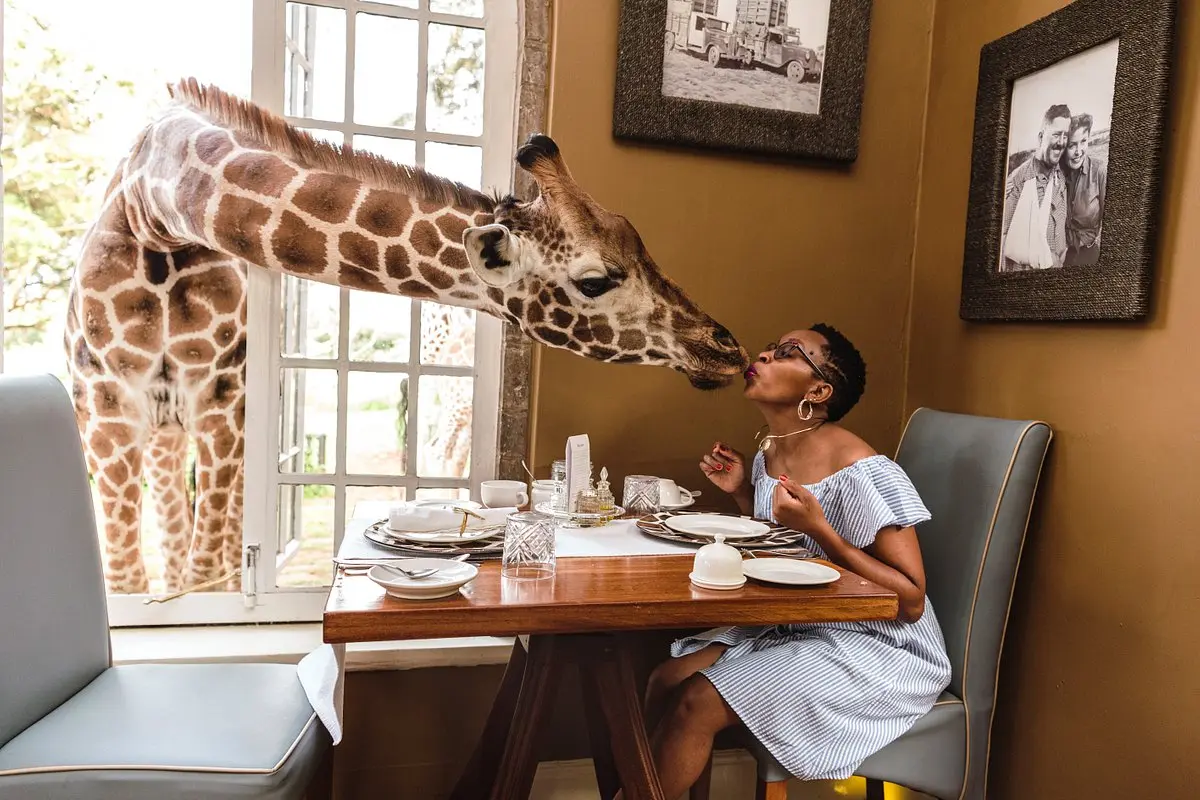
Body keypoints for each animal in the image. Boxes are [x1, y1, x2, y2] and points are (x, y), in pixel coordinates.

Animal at [65, 79, 748, 594]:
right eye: (595, 280)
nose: (727, 350)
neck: (161, 207)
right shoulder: (107, 407)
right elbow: (131, 575)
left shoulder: (218, 403)